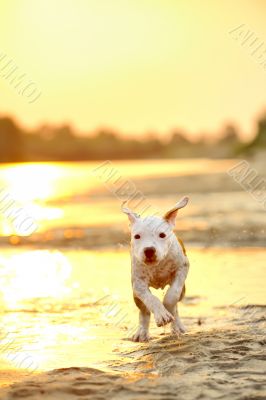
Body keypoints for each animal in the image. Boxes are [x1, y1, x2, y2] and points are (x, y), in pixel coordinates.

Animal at [121, 196, 190, 340]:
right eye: (137, 236)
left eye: (162, 235)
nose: (149, 250)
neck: (158, 265)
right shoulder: (138, 284)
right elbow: (151, 299)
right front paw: (162, 314)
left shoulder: (182, 268)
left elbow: (172, 296)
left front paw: (168, 310)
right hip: (135, 295)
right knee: (144, 311)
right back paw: (142, 333)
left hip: (183, 290)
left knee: (176, 304)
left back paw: (177, 327)